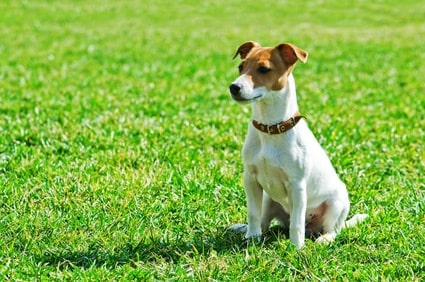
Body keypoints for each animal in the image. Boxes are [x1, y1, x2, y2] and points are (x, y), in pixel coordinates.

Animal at [227, 40, 366, 248]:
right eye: (240, 67)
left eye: (264, 69)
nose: (234, 87)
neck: (270, 128)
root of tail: (312, 229)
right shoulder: (250, 179)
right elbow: (253, 213)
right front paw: (251, 238)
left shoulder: (297, 185)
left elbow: (297, 222)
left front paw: (296, 248)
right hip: (268, 200)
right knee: (264, 222)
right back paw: (245, 229)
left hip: (336, 204)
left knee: (331, 229)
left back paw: (324, 239)